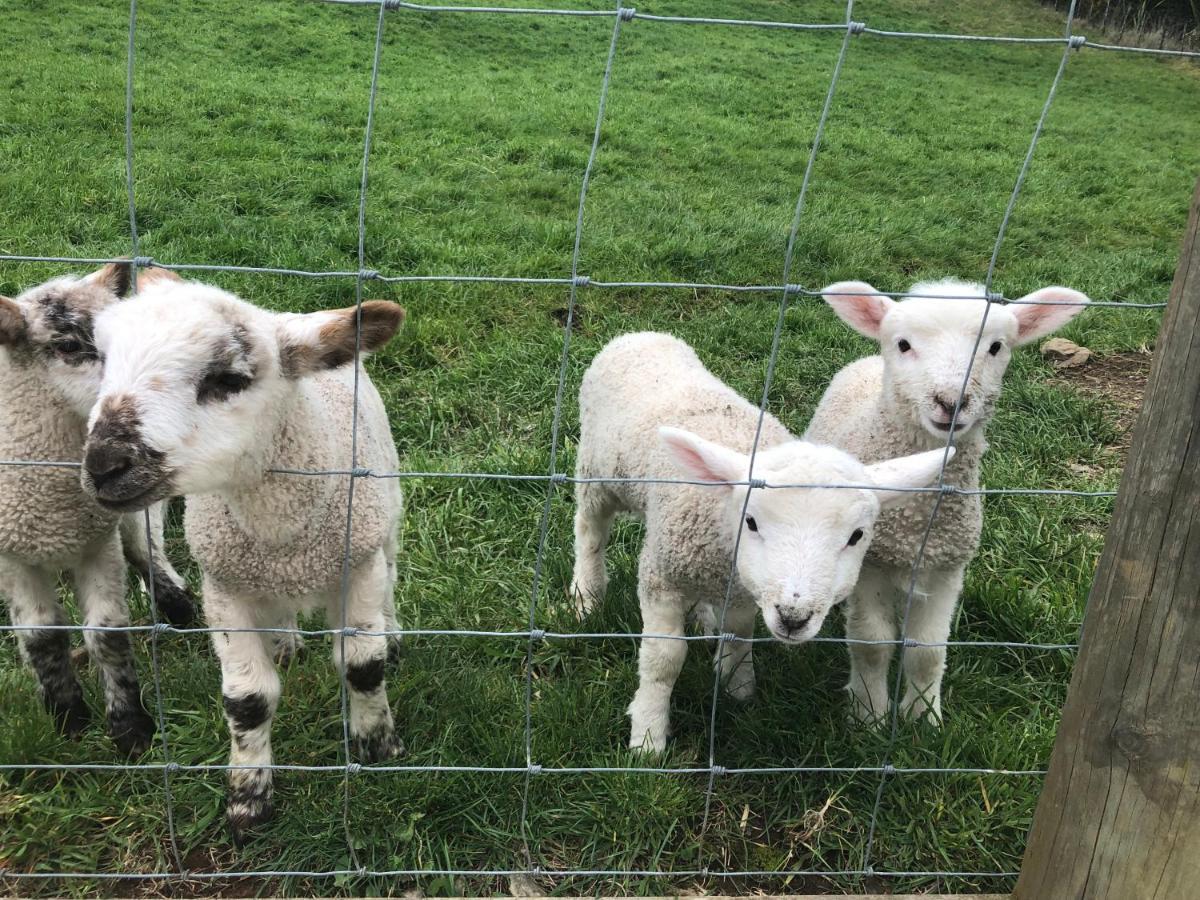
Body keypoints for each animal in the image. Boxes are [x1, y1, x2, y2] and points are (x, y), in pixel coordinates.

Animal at [2, 264, 193, 758]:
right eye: (69, 346)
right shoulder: (13, 557)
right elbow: (41, 636)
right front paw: (67, 718)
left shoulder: (97, 541)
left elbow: (106, 633)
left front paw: (131, 730)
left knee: (144, 546)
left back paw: (177, 603)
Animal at [81, 278, 408, 844]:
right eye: (101, 360)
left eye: (228, 379)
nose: (103, 465)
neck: (282, 535)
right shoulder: (224, 585)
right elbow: (247, 700)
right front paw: (248, 799)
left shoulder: (358, 562)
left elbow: (363, 666)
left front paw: (376, 745)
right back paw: (284, 644)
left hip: (384, 513)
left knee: (389, 576)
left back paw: (391, 630)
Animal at [566, 331, 950, 753]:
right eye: (751, 521)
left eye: (857, 536)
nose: (794, 618)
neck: (721, 532)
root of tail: (642, 335)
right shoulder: (659, 576)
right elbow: (663, 658)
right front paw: (648, 737)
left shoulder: (745, 587)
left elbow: (738, 637)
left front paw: (737, 686)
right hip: (597, 473)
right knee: (590, 531)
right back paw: (586, 596)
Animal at [806, 278, 1089, 729]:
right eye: (904, 344)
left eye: (996, 347)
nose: (951, 402)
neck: (918, 517)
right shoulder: (871, 564)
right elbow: (872, 643)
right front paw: (869, 715)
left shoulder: (946, 568)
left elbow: (927, 650)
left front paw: (923, 717)